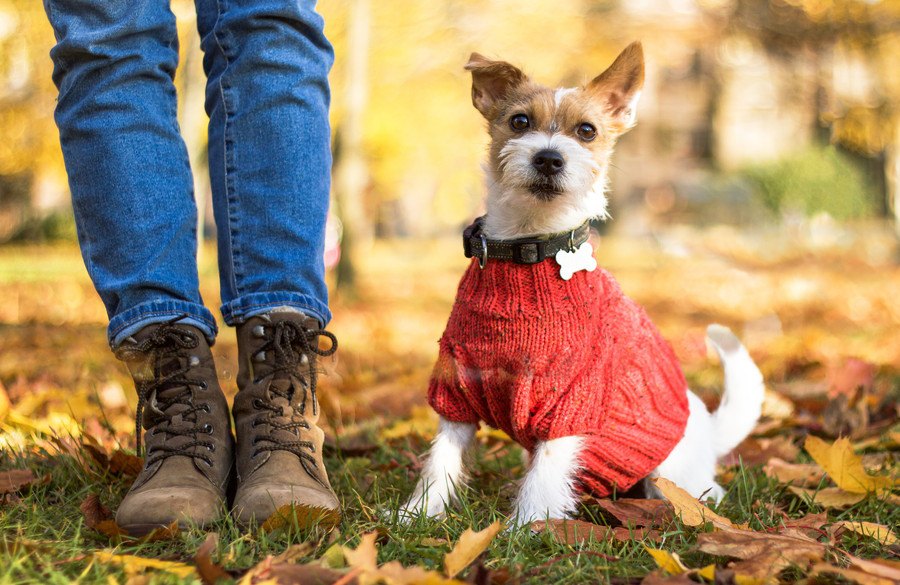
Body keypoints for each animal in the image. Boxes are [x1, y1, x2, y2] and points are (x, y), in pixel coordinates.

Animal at [404, 42, 764, 524]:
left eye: (587, 131)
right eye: (520, 121)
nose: (549, 158)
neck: (527, 249)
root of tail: (708, 428)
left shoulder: (570, 400)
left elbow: (545, 474)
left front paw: (526, 527)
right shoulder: (457, 389)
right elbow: (441, 460)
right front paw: (416, 514)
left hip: (671, 476)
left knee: (701, 493)